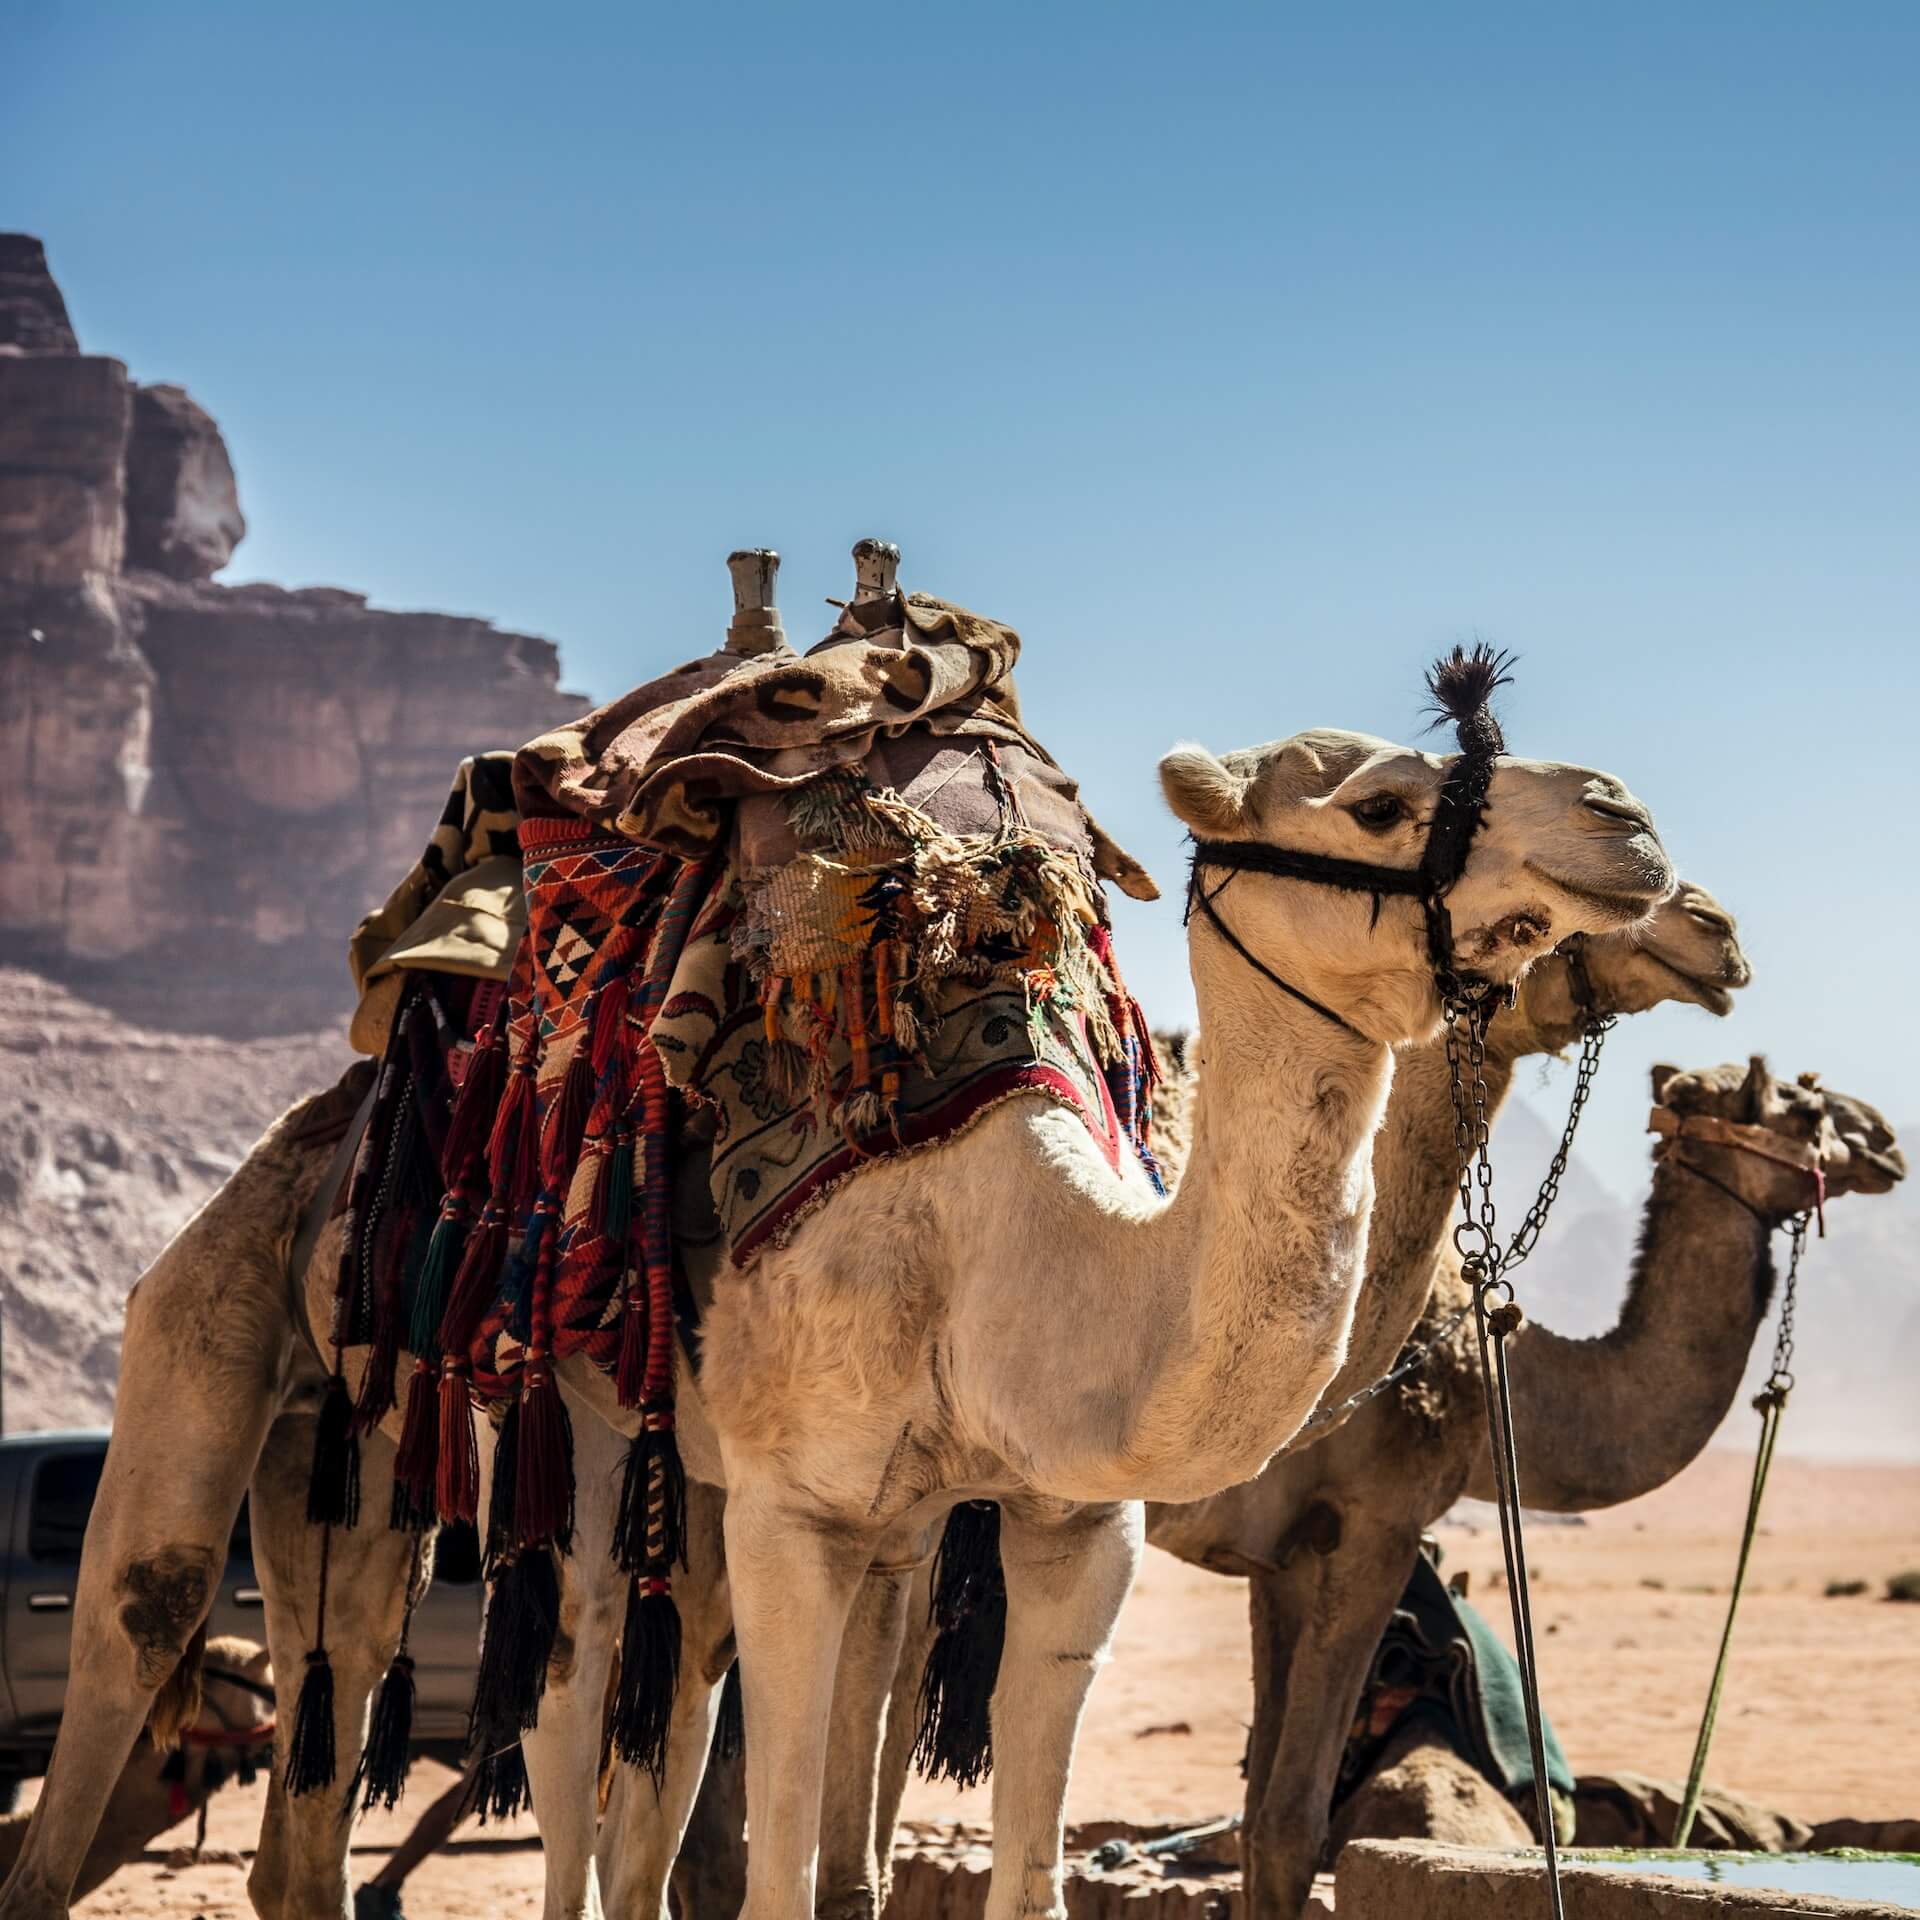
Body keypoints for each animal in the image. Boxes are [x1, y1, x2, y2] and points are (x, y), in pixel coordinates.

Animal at [0, 706, 1674, 1920]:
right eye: (1380, 804)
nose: (1628, 820)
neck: (1012, 1238)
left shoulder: (1063, 1528)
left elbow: (1002, 1881)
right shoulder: (797, 1512)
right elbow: (779, 1882)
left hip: (394, 1462)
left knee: (480, 1744)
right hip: (295, 1340)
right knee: (192, 1626)